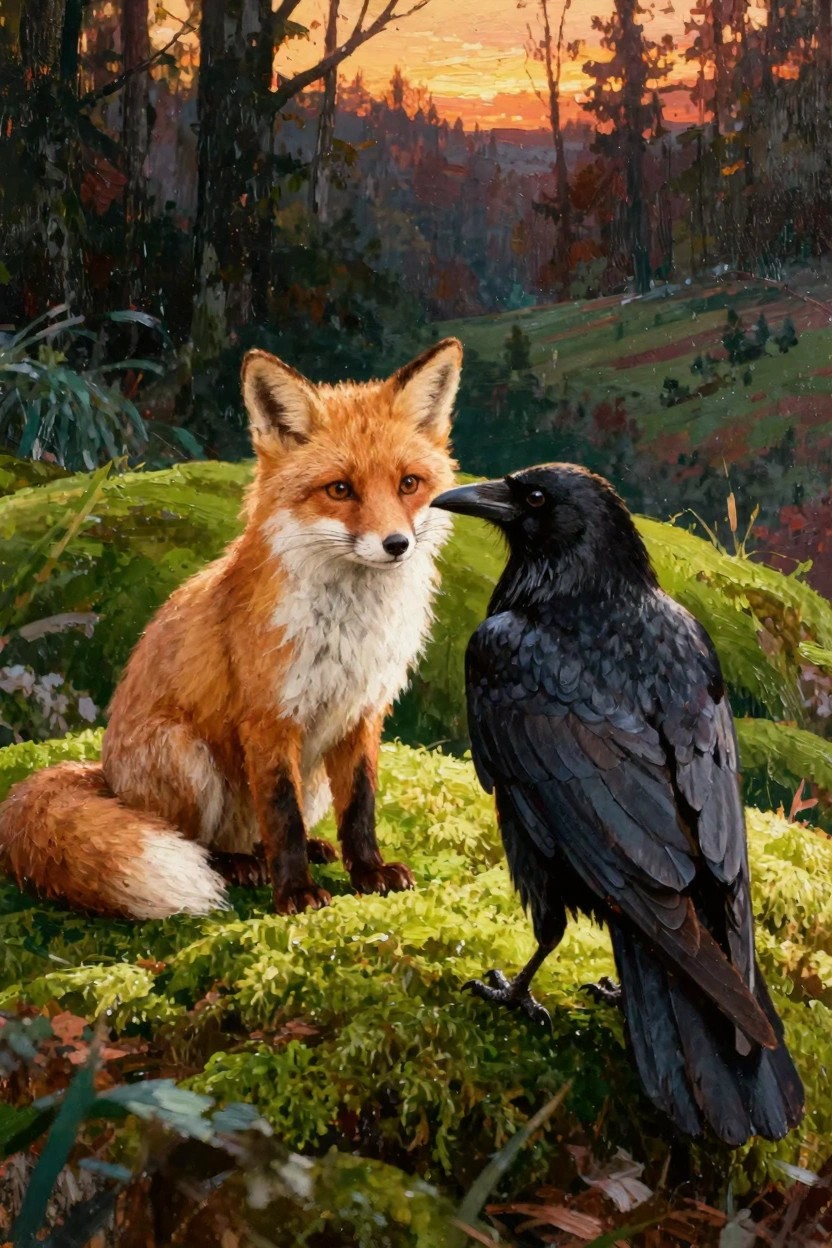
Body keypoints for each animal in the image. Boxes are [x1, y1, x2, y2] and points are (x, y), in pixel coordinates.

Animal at [0, 338, 462, 920]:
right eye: (339, 489)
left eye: (409, 485)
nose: (396, 544)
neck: (347, 630)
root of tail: (107, 779)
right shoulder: (268, 717)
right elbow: (282, 815)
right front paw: (295, 893)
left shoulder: (361, 714)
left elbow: (360, 807)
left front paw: (368, 872)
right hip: (186, 757)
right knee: (202, 841)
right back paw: (237, 865)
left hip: (309, 774)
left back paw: (295, 851)